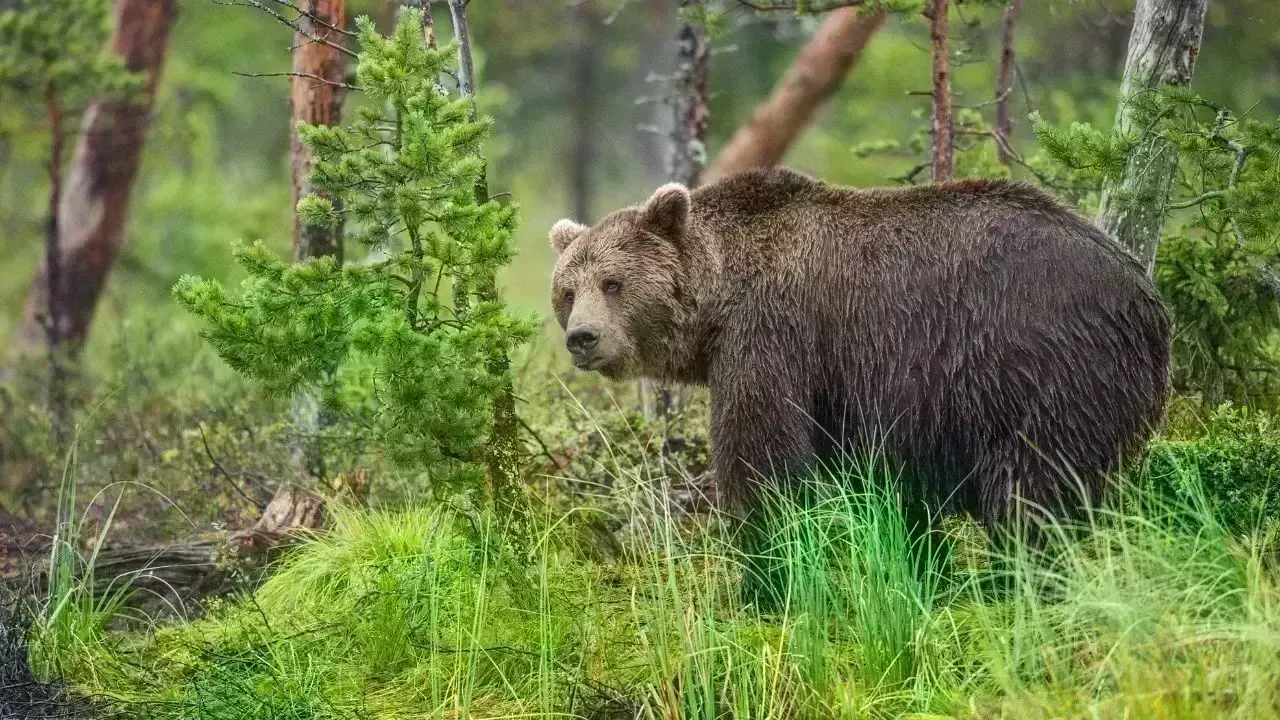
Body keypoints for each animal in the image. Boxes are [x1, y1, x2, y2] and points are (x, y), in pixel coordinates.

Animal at [547, 167, 1171, 542]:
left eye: (613, 283)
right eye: (567, 291)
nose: (582, 337)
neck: (719, 298)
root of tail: (1146, 296)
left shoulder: (773, 335)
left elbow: (762, 453)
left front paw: (761, 556)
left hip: (1044, 364)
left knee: (1035, 490)